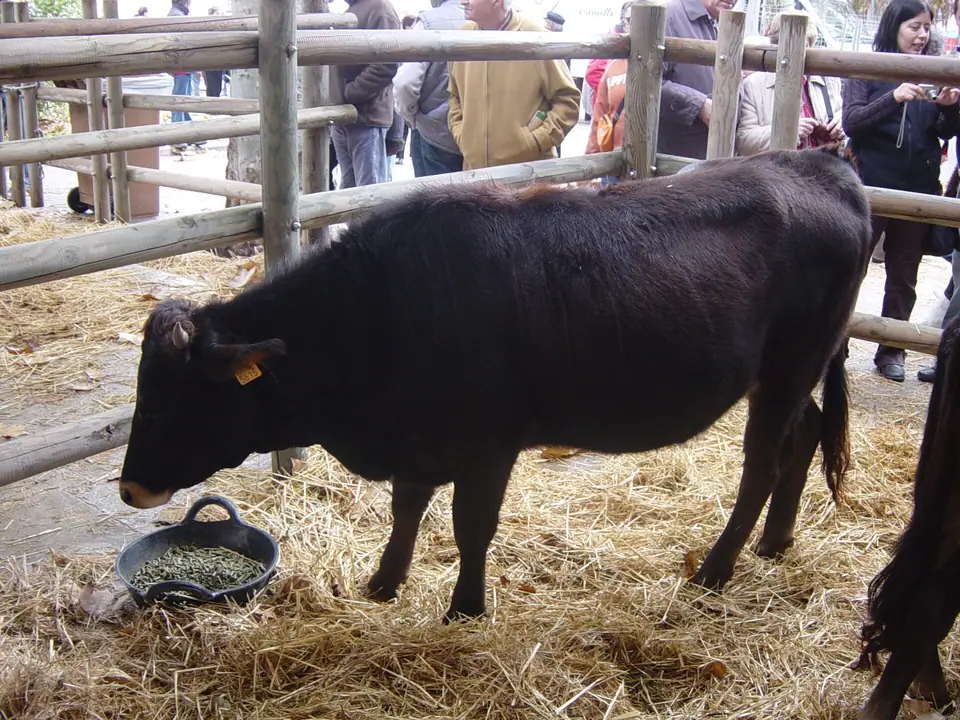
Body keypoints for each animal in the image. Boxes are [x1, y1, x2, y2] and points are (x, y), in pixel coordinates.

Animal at [117, 145, 873, 623]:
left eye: (164, 401)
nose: (129, 488)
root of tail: (822, 163)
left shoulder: (488, 444)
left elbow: (470, 526)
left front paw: (464, 609)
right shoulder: (418, 439)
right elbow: (407, 509)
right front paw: (383, 583)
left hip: (788, 365)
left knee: (762, 461)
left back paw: (716, 568)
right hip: (793, 370)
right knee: (805, 434)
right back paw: (775, 542)